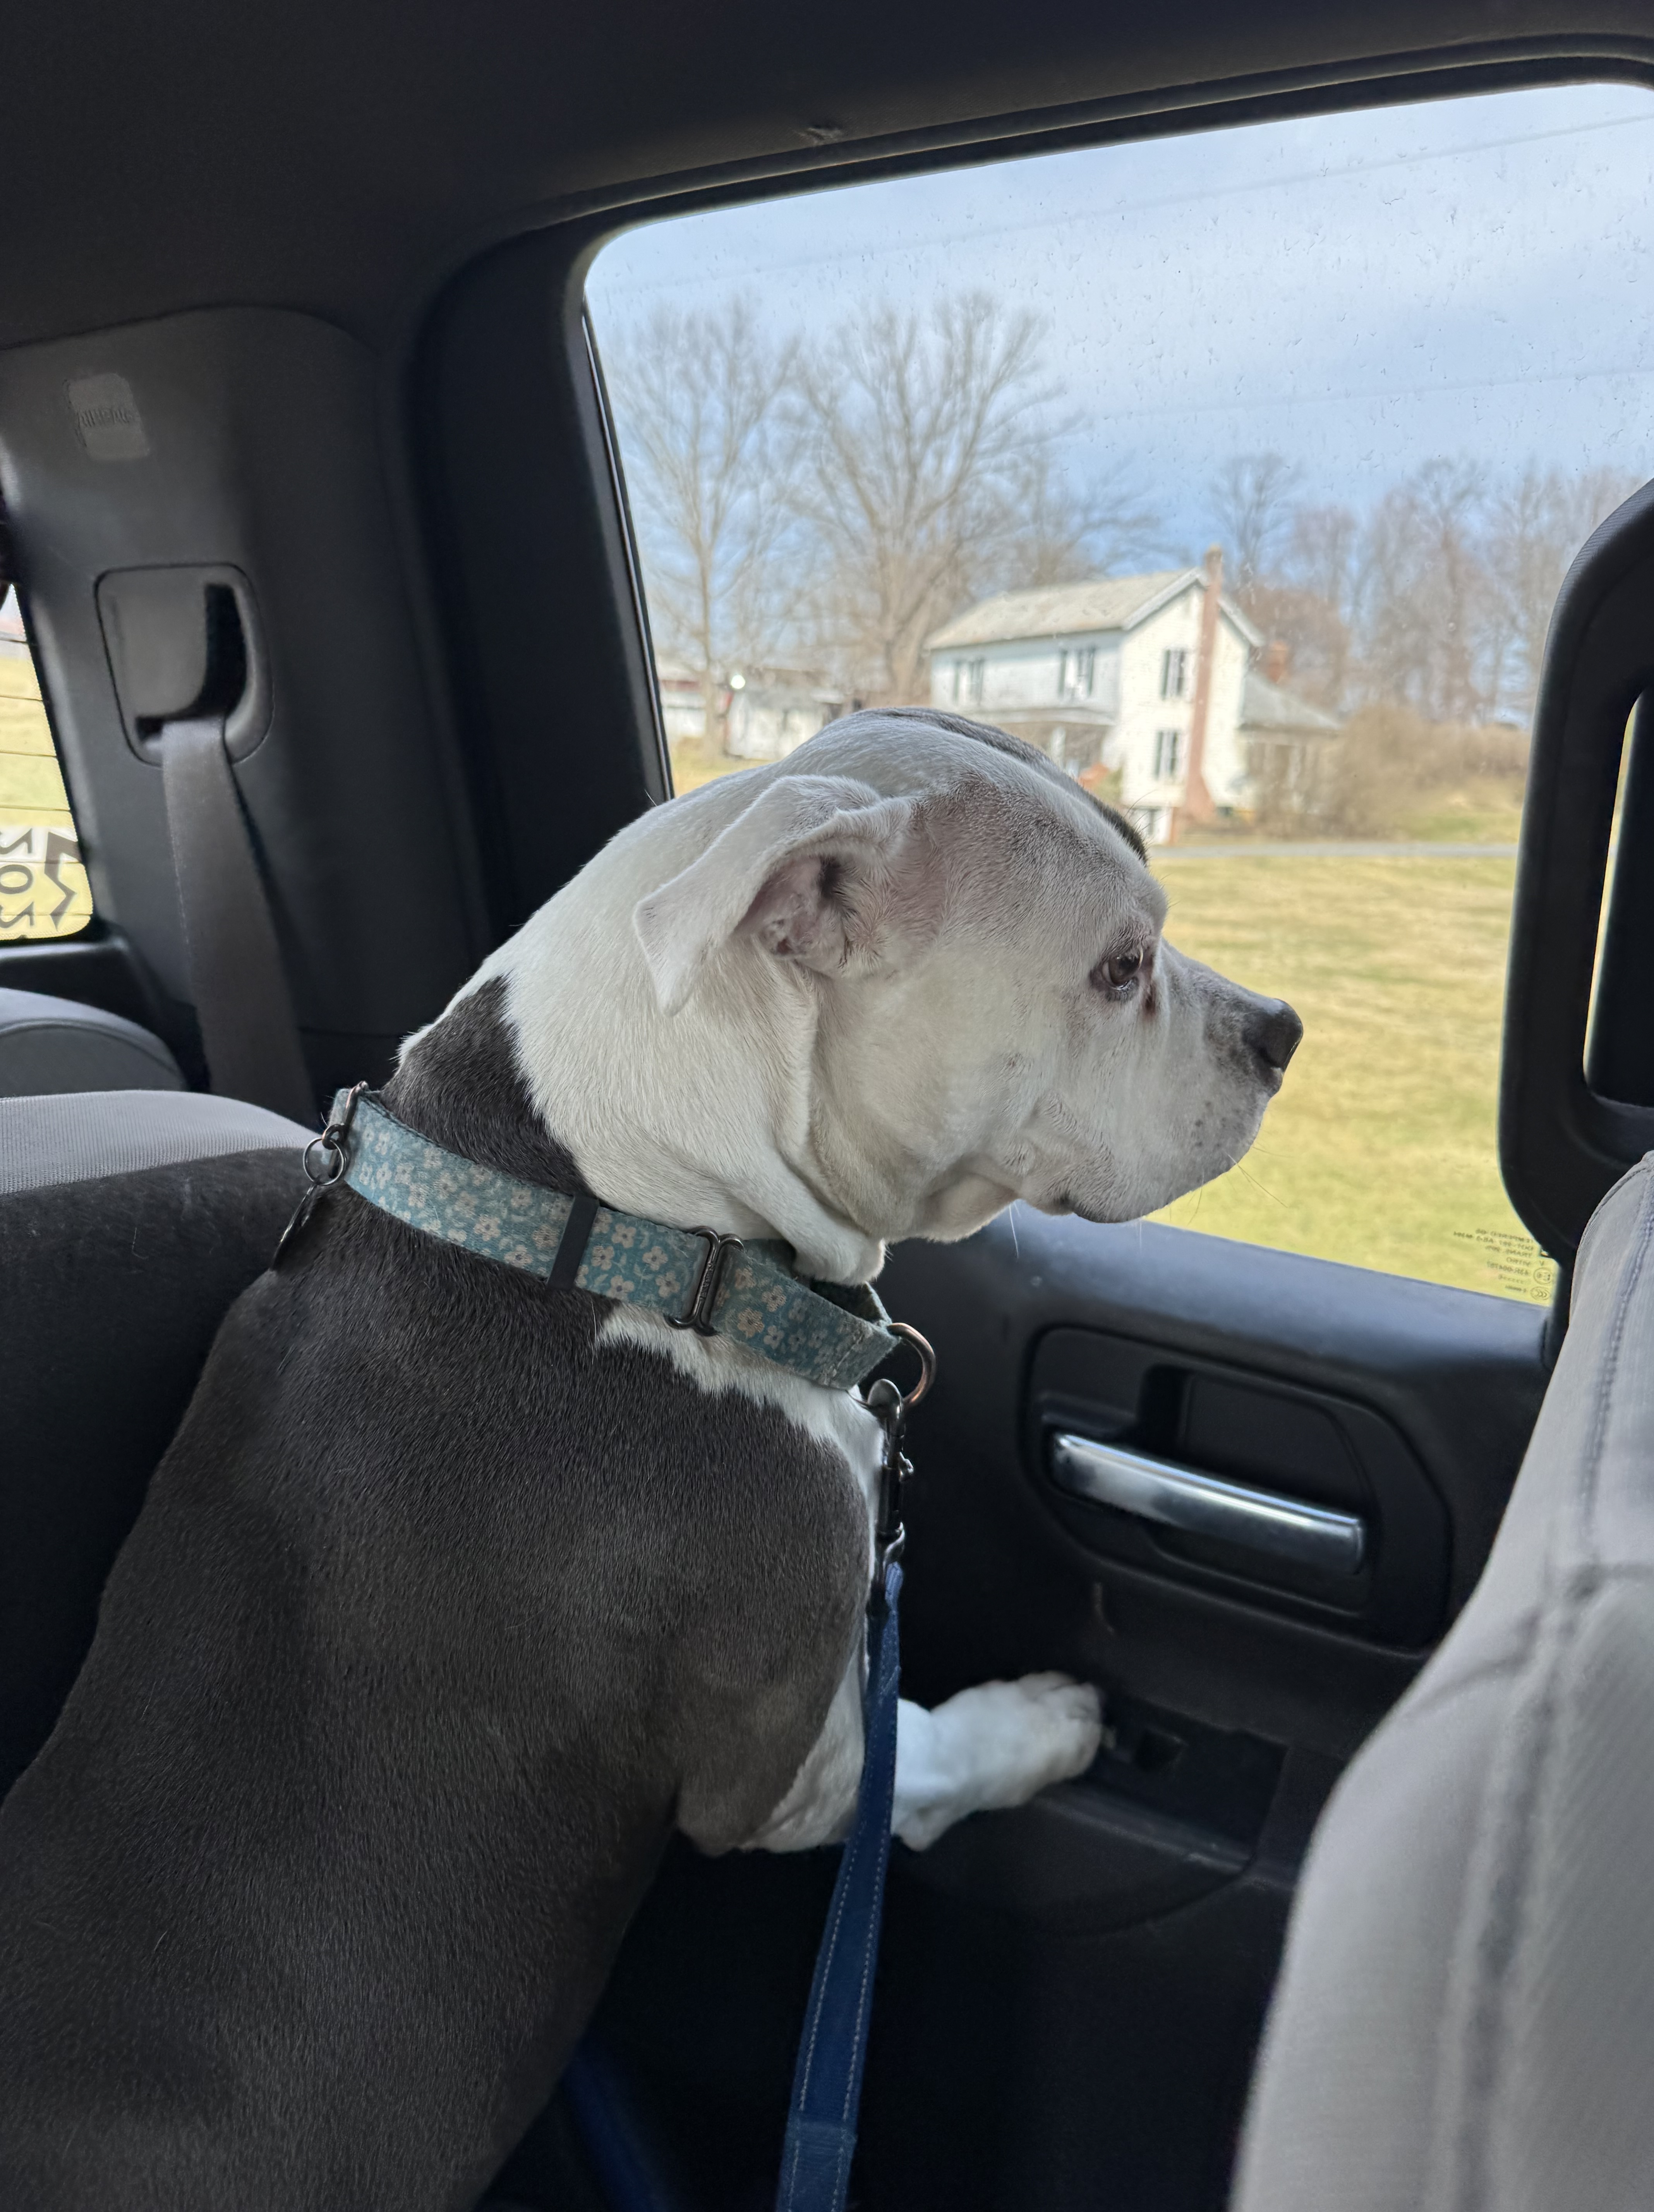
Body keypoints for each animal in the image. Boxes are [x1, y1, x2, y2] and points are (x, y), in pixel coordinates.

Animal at [0, 710, 1300, 2210]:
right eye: (1116, 968)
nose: (1281, 1029)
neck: (619, 1218)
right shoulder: (794, 1759)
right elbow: (929, 1750)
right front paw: (1040, 1721)